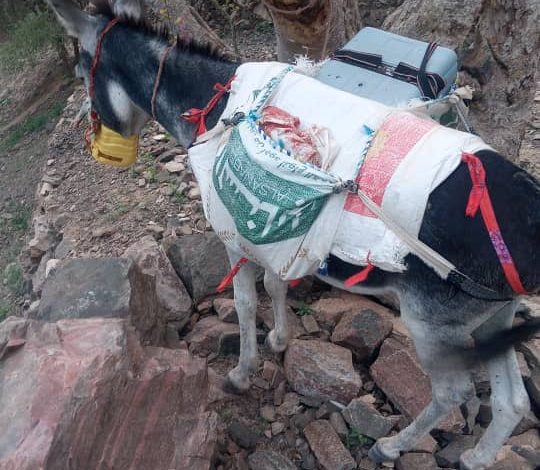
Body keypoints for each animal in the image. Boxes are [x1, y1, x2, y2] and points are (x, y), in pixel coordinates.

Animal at [46, 1, 540, 468]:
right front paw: (280, 340)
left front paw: (242, 372)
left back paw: (391, 446)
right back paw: (476, 457)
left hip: (432, 324)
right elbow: (275, 283)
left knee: (454, 392)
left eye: (82, 73)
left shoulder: (234, 235)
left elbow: (247, 302)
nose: (103, 152)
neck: (218, 106)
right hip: (494, 317)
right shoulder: (275, 240)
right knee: (512, 401)